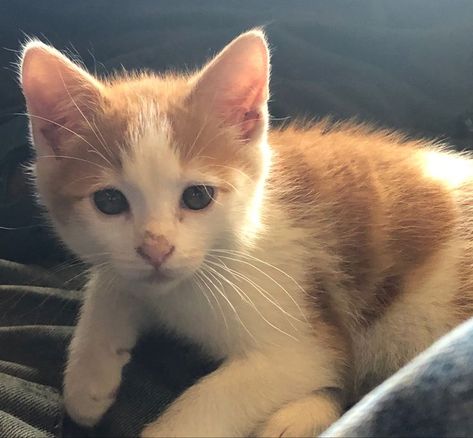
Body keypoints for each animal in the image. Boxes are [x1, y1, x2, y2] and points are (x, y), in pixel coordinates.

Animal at [20, 31, 472, 438]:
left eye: (197, 196)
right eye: (110, 201)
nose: (156, 249)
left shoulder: (302, 342)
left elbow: (217, 398)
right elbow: (111, 282)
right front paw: (88, 379)